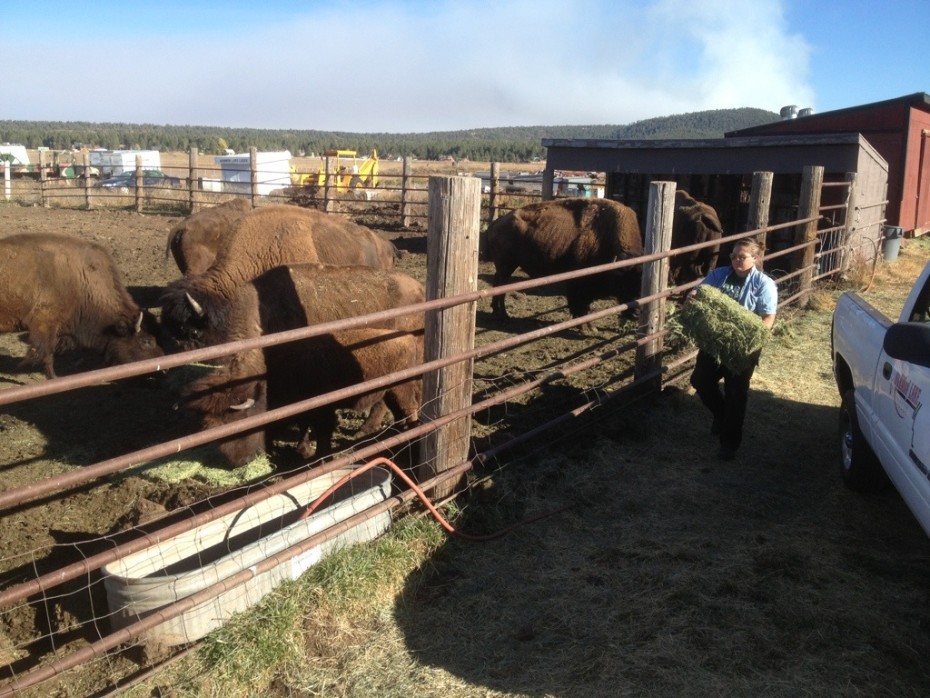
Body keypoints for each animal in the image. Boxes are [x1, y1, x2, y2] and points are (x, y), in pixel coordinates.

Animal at [0, 232, 163, 376]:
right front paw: (55, 379)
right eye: (146, 341)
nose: (163, 369)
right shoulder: (45, 324)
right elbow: (47, 355)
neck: (81, 280)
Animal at [177, 264, 424, 464]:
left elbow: (307, 419)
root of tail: (419, 288)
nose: (241, 461)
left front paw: (303, 449)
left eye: (241, 423)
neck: (263, 322)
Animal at [486, 197, 644, 322]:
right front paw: (584, 324)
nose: (636, 314)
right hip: (506, 265)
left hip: (506, 266)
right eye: (623, 284)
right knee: (501, 286)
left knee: (498, 283)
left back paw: (496, 312)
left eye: (641, 285)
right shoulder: (580, 282)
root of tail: (497, 223)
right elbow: (579, 303)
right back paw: (504, 315)